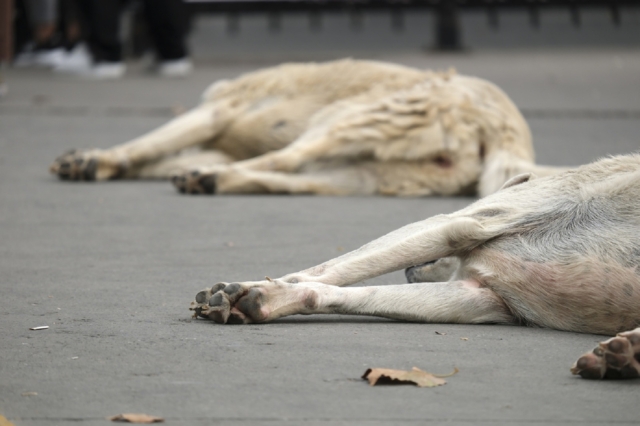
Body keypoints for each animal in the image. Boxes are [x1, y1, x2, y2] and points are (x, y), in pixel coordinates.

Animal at [50, 59, 564, 197]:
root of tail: (507, 129)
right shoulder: (216, 138)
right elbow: (153, 156)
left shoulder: (216, 112)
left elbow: (142, 146)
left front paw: (95, 160)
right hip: (364, 173)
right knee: (292, 178)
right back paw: (212, 180)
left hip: (343, 119)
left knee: (286, 158)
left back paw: (210, 178)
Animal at [190, 155, 640, 382]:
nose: (410, 272)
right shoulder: (480, 298)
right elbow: (337, 286)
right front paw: (266, 297)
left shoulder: (457, 223)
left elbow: (324, 271)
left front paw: (264, 289)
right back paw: (623, 357)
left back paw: (625, 355)